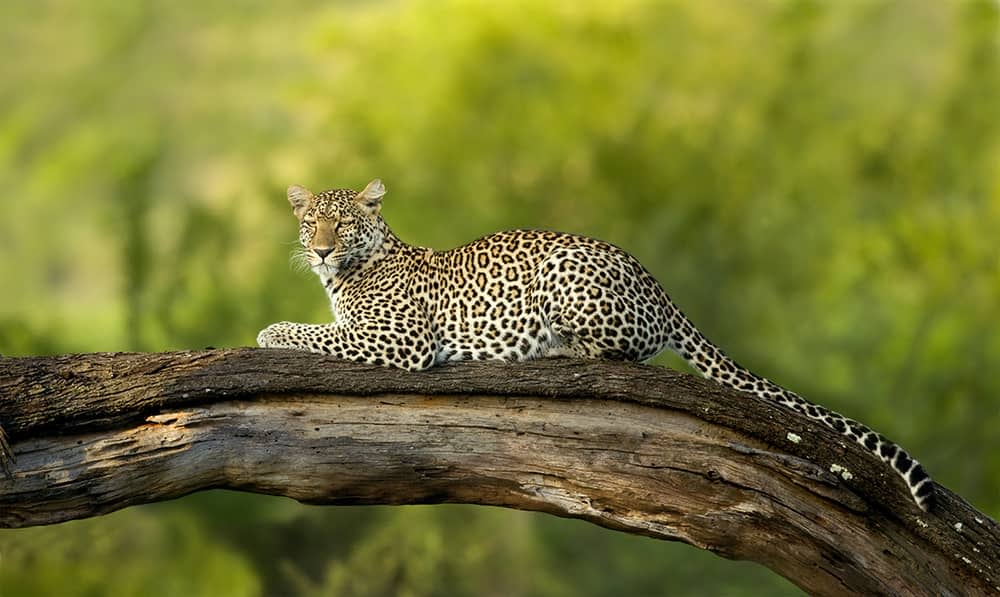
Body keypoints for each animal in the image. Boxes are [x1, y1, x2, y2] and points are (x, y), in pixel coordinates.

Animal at [258, 179, 936, 510]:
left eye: (344, 222)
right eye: (310, 222)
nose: (321, 249)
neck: (343, 274)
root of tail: (657, 284)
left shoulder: (399, 340)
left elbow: (306, 331)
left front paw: (268, 332)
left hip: (563, 278)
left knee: (620, 352)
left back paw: (550, 350)